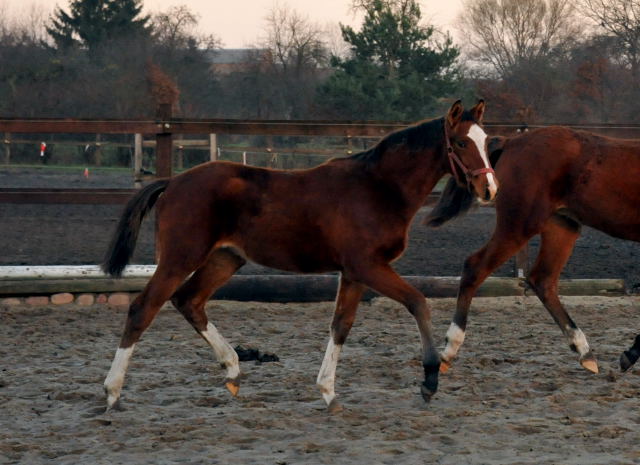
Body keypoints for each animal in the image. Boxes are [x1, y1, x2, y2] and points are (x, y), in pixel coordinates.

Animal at [102, 99, 498, 410]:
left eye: (486, 141)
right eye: (461, 142)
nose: (489, 188)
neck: (378, 188)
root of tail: (173, 182)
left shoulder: (353, 272)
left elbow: (341, 325)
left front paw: (328, 393)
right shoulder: (368, 266)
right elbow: (418, 302)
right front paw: (430, 378)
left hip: (225, 258)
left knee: (190, 301)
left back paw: (233, 370)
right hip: (180, 257)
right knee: (143, 309)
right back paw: (112, 393)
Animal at [424, 126, 640, 376]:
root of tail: (511, 142)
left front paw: (630, 354)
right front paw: (630, 354)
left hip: (562, 226)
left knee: (542, 280)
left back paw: (585, 352)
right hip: (520, 225)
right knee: (475, 267)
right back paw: (449, 351)